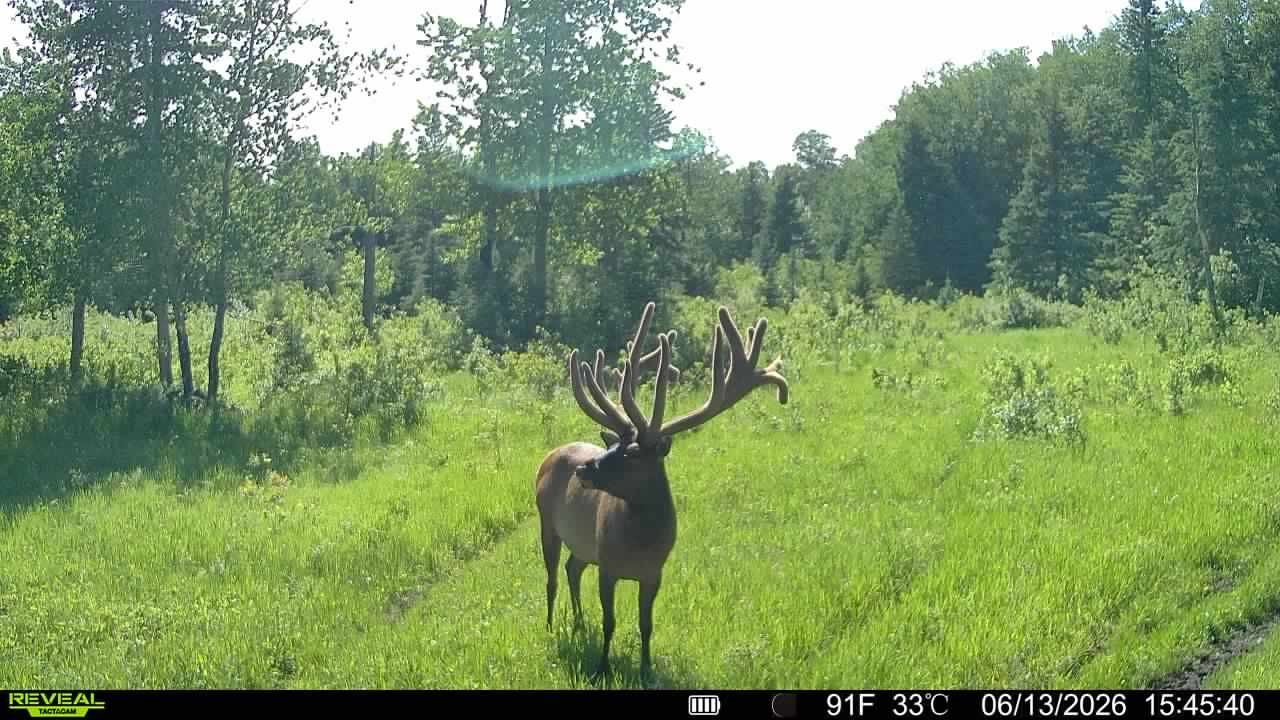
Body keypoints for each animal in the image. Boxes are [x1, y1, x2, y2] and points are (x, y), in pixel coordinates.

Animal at [534, 300, 789, 681]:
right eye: (614, 444)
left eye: (633, 453)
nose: (584, 469)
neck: (639, 544)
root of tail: (550, 454)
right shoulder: (608, 566)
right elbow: (610, 622)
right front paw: (602, 666)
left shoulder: (654, 573)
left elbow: (646, 625)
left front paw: (645, 669)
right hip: (547, 521)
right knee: (551, 577)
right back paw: (552, 627)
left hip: (583, 545)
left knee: (572, 568)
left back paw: (578, 624)